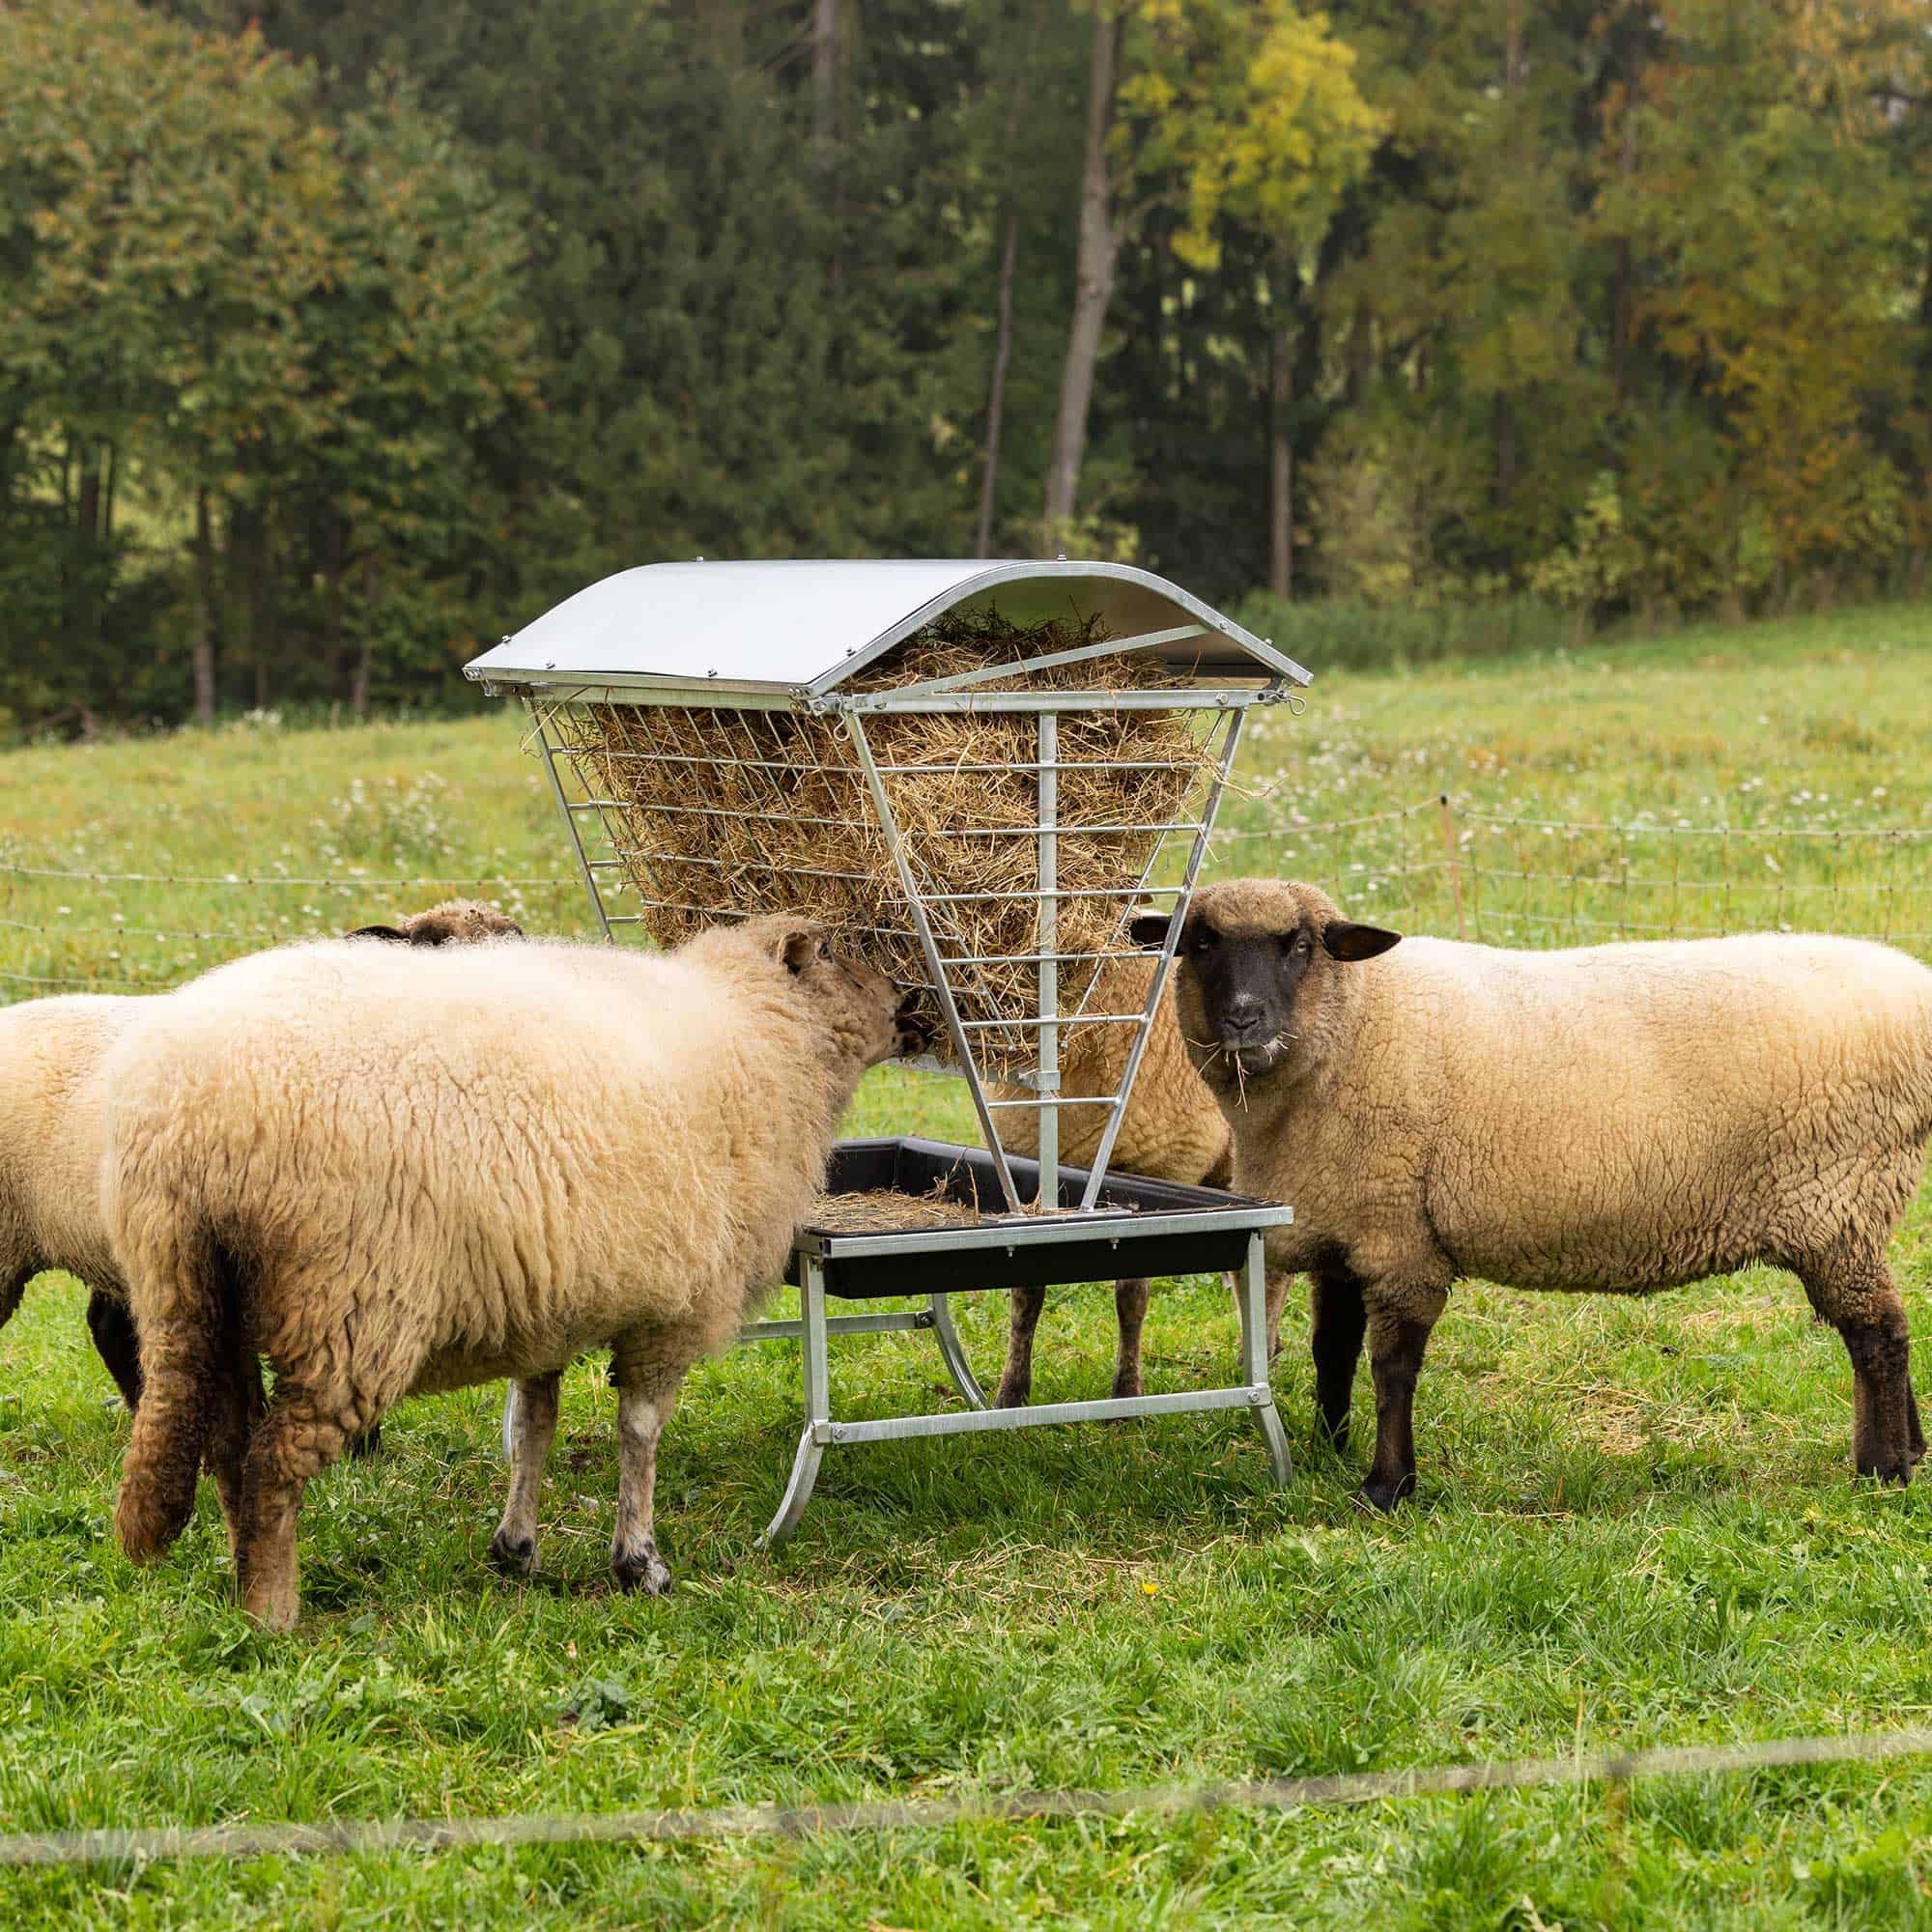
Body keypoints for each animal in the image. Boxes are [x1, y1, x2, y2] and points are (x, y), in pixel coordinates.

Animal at [104, 916, 919, 1629]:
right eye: (842, 952)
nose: (912, 1006)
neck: (763, 1036)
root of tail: (188, 1120)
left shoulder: (543, 1296)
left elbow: (535, 1424)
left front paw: (516, 1547)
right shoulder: (675, 1310)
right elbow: (639, 1430)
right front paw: (638, 1561)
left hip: (193, 1292)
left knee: (231, 1451)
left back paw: (246, 1579)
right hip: (351, 1302)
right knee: (274, 1461)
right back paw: (272, 1614)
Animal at [1140, 878, 1932, 1509]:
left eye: (1299, 945)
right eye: (1201, 942)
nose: (1244, 1018)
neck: (1356, 1021)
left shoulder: (1402, 1238)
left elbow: (1392, 1368)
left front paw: (1387, 1486)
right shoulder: (1346, 1226)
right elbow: (1331, 1350)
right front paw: (1326, 1451)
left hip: (1835, 1202)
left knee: (1879, 1335)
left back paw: (1884, 1469)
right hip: (1849, 1208)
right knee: (1883, 1328)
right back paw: (1911, 1451)